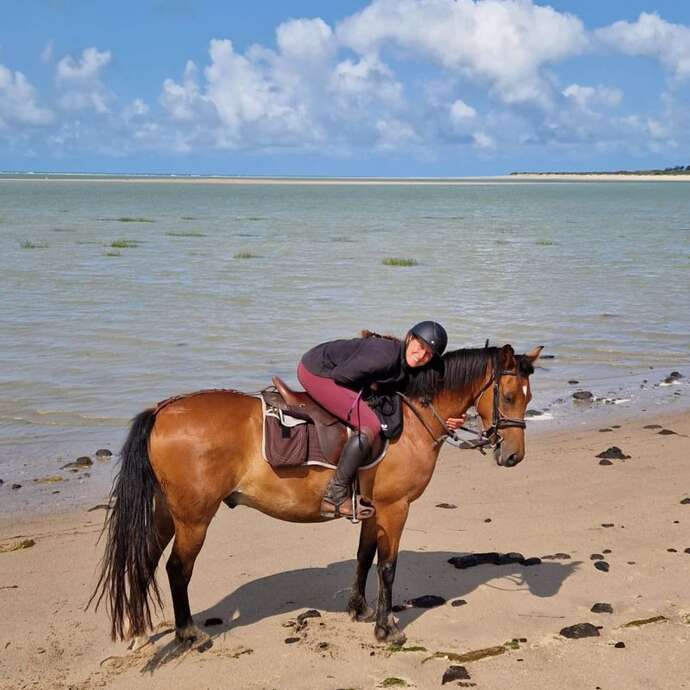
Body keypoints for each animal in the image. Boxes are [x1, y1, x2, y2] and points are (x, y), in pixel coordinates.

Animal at [90, 342, 542, 646]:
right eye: (507, 396)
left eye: (529, 397)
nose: (514, 456)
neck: (412, 418)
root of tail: (164, 409)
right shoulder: (395, 509)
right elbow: (388, 567)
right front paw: (386, 628)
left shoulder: (373, 510)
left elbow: (363, 557)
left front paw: (360, 609)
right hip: (194, 519)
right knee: (176, 569)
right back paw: (188, 632)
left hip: (168, 513)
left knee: (147, 560)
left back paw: (140, 628)